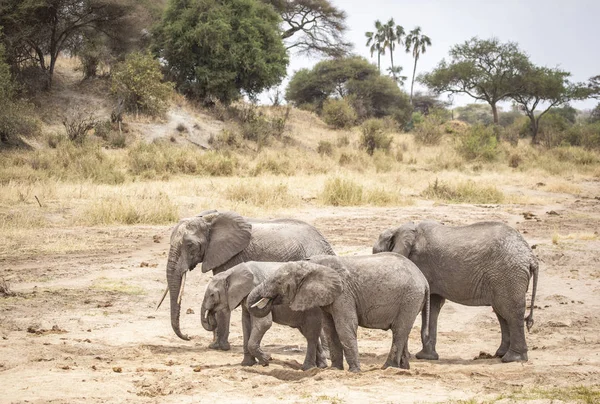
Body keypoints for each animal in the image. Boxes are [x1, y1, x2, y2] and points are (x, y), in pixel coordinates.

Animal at [248, 254, 432, 374]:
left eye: (278, 282)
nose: (270, 360)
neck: (312, 264)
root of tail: (424, 280)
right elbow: (330, 329)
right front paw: (335, 370)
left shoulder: (344, 294)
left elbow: (345, 327)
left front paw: (354, 372)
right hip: (412, 300)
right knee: (403, 331)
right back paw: (403, 369)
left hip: (410, 297)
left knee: (399, 331)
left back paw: (387, 368)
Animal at [376, 221, 540, 362]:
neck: (402, 228)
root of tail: (531, 257)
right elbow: (433, 306)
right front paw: (426, 357)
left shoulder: (420, 263)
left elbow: (425, 307)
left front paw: (417, 356)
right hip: (505, 277)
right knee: (502, 312)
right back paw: (500, 354)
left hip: (508, 274)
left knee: (510, 311)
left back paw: (512, 359)